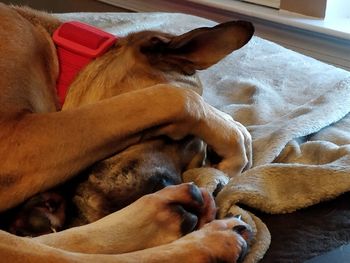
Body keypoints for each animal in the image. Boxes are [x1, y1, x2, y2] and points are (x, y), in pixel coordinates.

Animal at [0, 4, 254, 263]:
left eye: (189, 166)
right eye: (174, 135)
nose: (163, 185)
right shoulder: (12, 134)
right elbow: (177, 97)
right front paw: (233, 136)